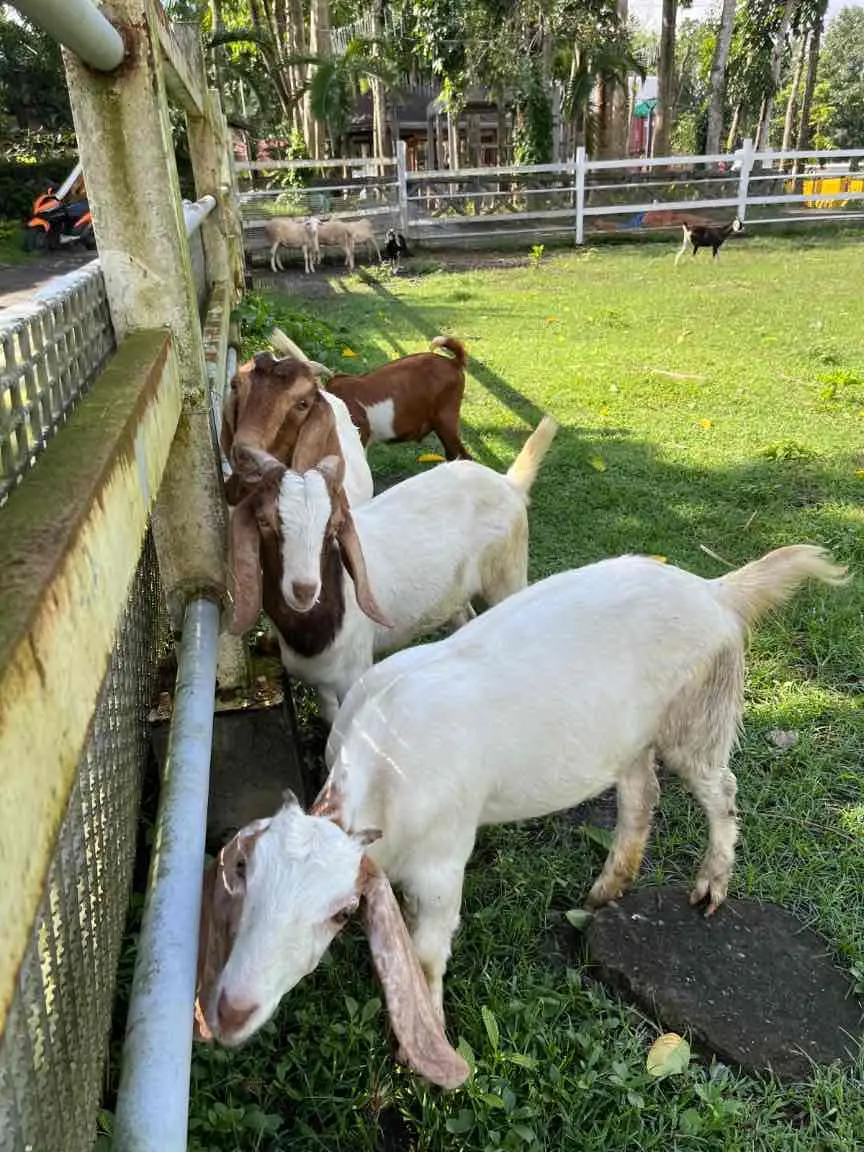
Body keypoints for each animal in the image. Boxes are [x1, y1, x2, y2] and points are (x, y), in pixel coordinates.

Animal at [195, 544, 847, 1087]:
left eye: (338, 912)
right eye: (244, 879)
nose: (229, 1011)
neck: (382, 764)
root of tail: (716, 590)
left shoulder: (442, 864)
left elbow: (426, 954)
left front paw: (419, 1050)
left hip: (698, 720)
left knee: (721, 791)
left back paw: (711, 884)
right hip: (630, 739)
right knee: (641, 794)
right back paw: (608, 887)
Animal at [226, 415, 557, 720]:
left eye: (333, 528)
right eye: (264, 521)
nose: (304, 589)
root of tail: (509, 483)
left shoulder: (353, 673)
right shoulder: (323, 684)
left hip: (508, 575)